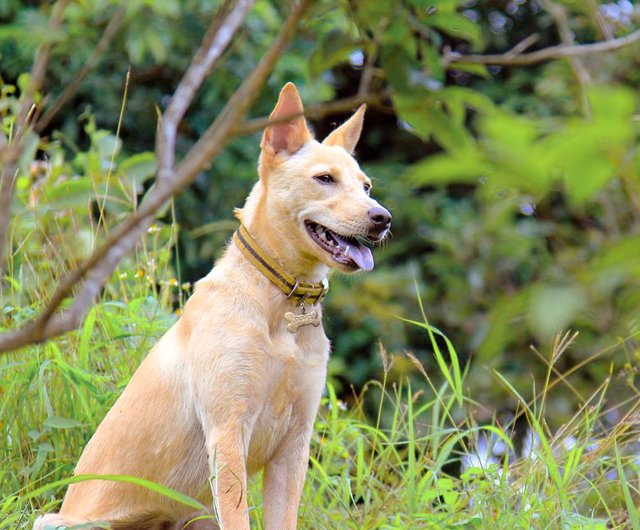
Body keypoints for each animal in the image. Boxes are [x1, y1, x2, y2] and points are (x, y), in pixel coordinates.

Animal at [37, 82, 392, 528]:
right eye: (324, 179)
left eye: (366, 186)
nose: (383, 218)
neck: (282, 304)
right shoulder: (228, 431)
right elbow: (239, 515)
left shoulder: (293, 446)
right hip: (68, 520)